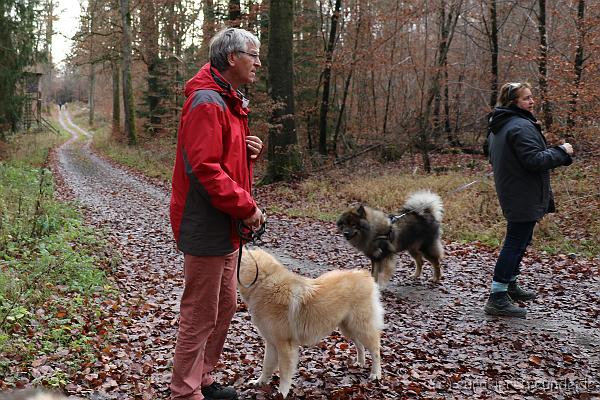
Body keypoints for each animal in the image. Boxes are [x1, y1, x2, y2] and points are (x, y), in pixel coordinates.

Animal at [237, 248, 382, 398]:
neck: (264, 282)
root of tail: (365, 275)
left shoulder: (285, 346)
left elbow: (284, 373)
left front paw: (282, 393)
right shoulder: (271, 343)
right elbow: (266, 366)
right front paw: (259, 383)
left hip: (362, 328)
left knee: (376, 350)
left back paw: (376, 374)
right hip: (348, 328)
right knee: (360, 345)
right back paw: (360, 363)